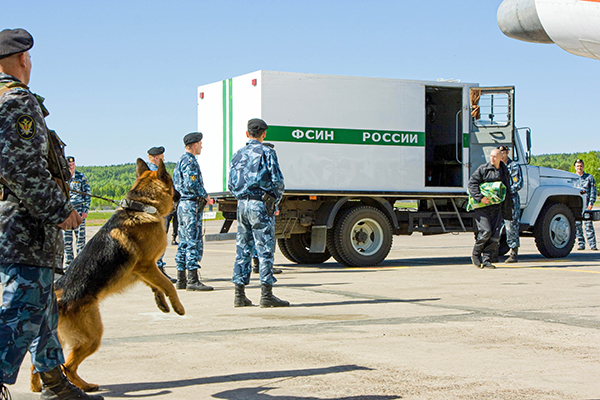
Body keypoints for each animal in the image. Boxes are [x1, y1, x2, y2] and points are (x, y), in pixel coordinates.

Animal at [30, 158, 184, 392]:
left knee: (38, 363)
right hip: (91, 337)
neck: (143, 206)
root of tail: (59, 296)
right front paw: (177, 306)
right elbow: (168, 284)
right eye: (173, 184)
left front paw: (162, 304)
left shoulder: (142, 271)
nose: (182, 195)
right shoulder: (147, 266)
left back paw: (38, 387)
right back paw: (84, 386)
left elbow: (156, 286)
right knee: (67, 366)